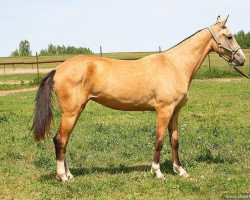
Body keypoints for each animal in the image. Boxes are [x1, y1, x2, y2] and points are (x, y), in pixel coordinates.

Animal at [30, 15, 244, 181]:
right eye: (229, 36)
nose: (241, 59)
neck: (175, 65)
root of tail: (58, 69)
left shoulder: (175, 111)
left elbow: (174, 140)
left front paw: (180, 170)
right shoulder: (164, 110)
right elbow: (159, 140)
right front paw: (157, 172)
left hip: (76, 111)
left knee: (65, 141)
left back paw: (69, 174)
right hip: (71, 112)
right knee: (60, 140)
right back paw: (63, 177)